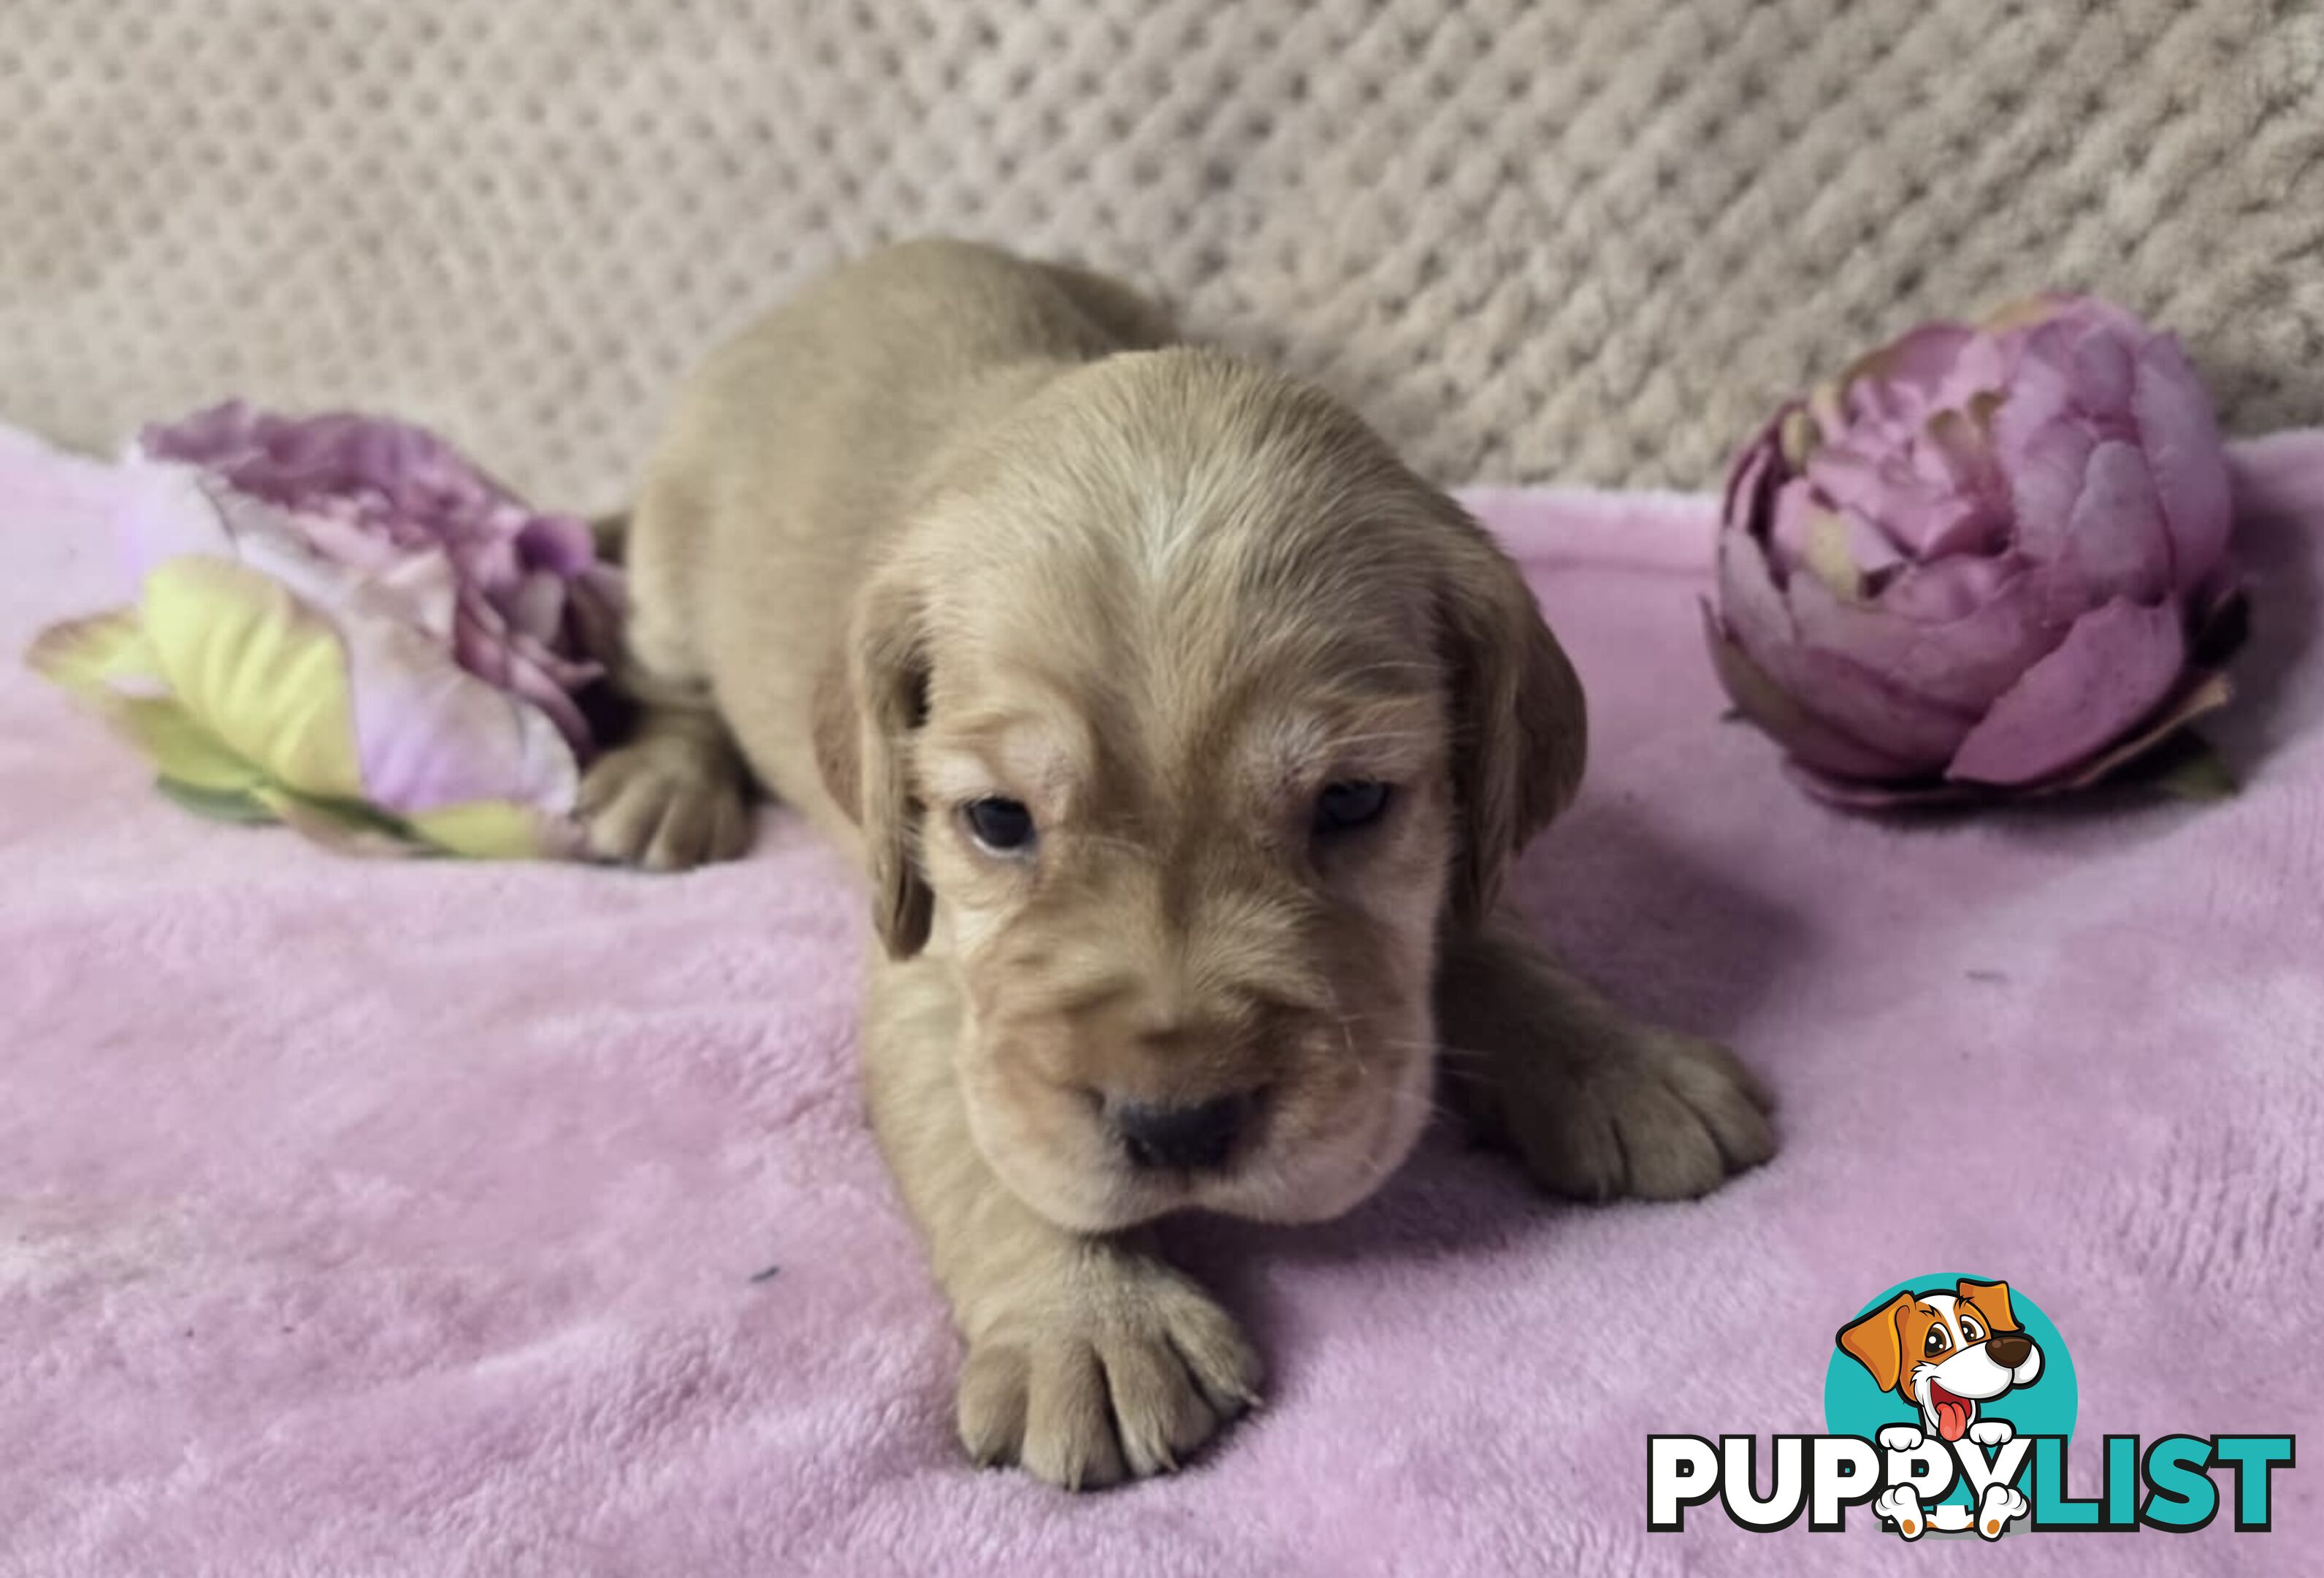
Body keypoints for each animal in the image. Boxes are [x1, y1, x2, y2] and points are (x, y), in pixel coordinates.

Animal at [585, 240, 1776, 1487]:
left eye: (1350, 801)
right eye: (998, 819)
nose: (1179, 1130)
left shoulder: (1454, 851)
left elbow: (1494, 938)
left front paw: (1617, 1062)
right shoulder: (925, 959)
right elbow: (983, 1138)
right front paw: (1084, 1324)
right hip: (671, 582)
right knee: (656, 671)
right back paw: (661, 788)